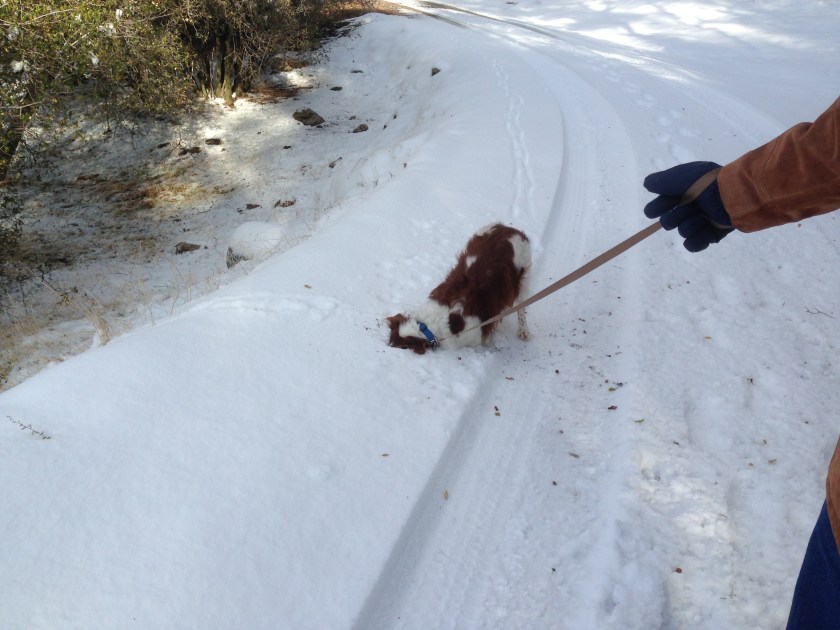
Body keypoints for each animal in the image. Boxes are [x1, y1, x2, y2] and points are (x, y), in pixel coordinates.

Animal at [387, 223, 531, 354]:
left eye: (403, 347)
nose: (388, 346)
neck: (427, 325)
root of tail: (511, 230)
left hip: (522, 280)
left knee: (521, 308)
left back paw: (524, 332)